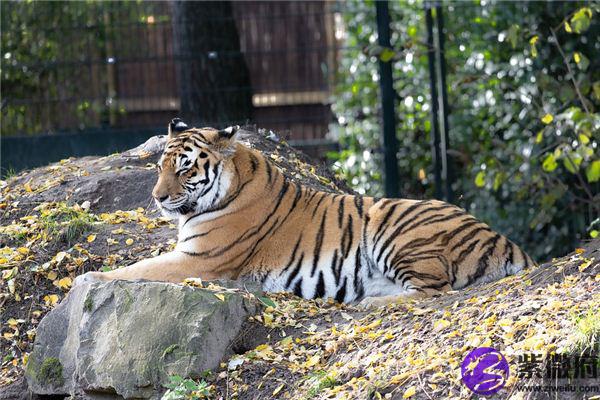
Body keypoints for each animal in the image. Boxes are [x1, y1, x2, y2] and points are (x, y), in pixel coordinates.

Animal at [76, 117, 536, 308]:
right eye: (160, 167)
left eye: (185, 168)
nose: (157, 198)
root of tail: (503, 238)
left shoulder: (199, 259)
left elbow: (136, 269)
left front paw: (89, 278)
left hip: (396, 228)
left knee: (436, 292)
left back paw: (371, 306)